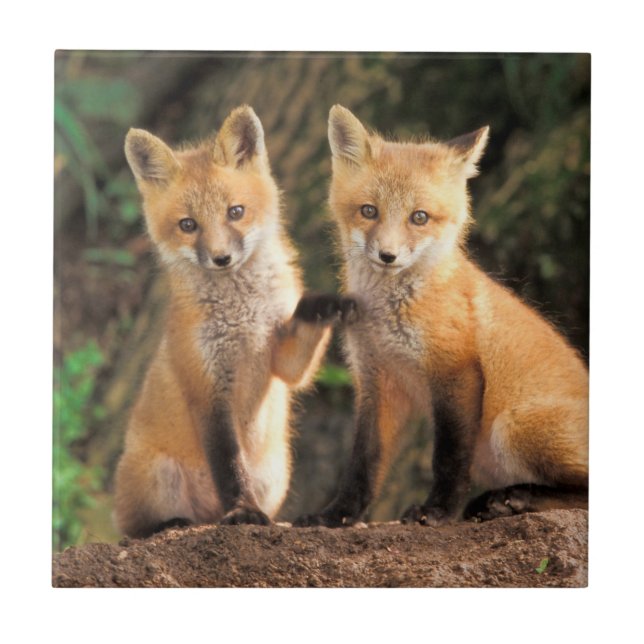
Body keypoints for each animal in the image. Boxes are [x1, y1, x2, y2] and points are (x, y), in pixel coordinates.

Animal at [114, 105, 356, 538]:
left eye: (236, 212)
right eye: (188, 225)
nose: (221, 258)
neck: (243, 317)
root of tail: (207, 515)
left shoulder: (282, 360)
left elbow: (298, 350)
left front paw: (324, 305)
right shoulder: (208, 389)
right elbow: (229, 467)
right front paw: (243, 511)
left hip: (276, 475)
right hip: (158, 476)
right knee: (135, 528)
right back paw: (172, 524)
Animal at [295, 105, 588, 527]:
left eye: (419, 217)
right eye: (369, 211)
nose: (387, 255)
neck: (388, 319)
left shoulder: (455, 370)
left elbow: (448, 457)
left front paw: (437, 511)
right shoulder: (377, 381)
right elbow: (363, 463)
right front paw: (337, 515)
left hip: (511, 427)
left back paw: (516, 498)